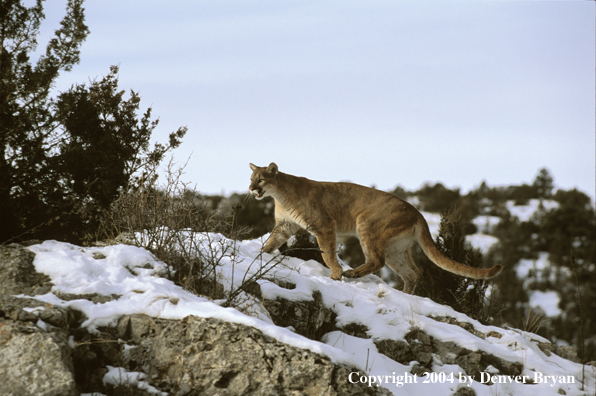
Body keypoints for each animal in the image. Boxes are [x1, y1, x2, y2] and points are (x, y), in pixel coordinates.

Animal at [248, 162, 502, 294]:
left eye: (260, 179)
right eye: (251, 178)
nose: (251, 188)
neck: (280, 195)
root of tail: (417, 212)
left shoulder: (324, 226)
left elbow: (328, 253)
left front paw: (336, 273)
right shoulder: (285, 226)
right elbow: (271, 241)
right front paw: (260, 255)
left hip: (367, 225)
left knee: (377, 260)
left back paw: (351, 273)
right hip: (395, 248)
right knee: (412, 271)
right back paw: (405, 295)